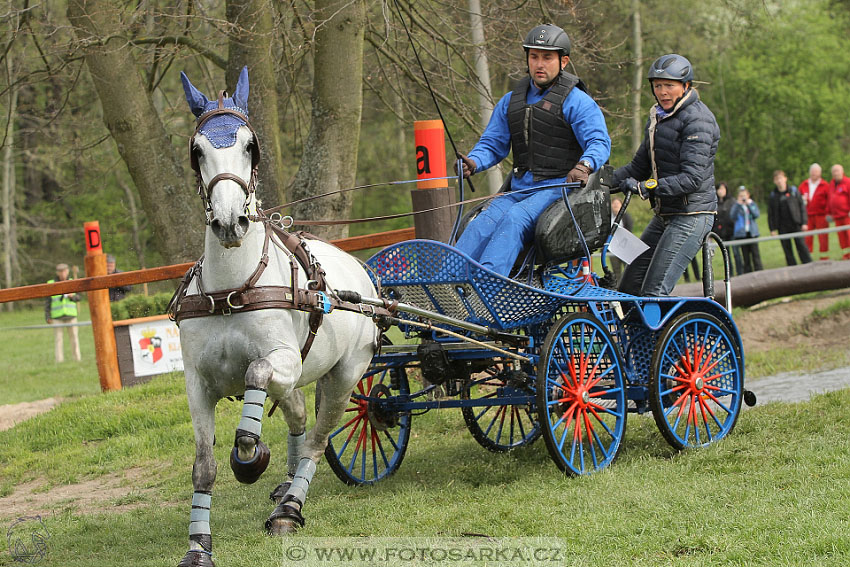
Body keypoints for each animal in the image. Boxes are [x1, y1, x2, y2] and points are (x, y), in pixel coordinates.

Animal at [174, 69, 376, 564]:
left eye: (251, 146)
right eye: (196, 151)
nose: (230, 222)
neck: (232, 290)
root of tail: (361, 271)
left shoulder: (280, 359)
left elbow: (255, 373)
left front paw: (248, 456)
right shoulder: (197, 385)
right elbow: (203, 468)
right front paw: (198, 545)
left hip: (344, 376)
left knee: (317, 441)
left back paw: (289, 507)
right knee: (300, 419)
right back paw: (285, 484)